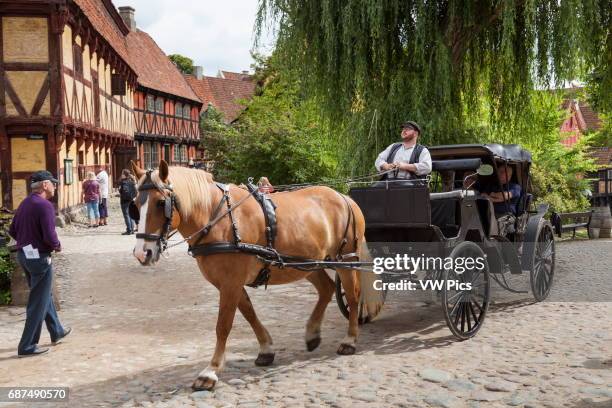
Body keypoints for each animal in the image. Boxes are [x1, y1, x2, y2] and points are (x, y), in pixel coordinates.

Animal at [129, 160, 382, 392]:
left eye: (161, 203)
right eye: (135, 204)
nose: (142, 253)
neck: (219, 218)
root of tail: (343, 197)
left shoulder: (231, 283)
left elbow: (223, 325)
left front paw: (211, 371)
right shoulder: (230, 283)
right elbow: (249, 314)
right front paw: (266, 349)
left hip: (345, 260)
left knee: (352, 296)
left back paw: (349, 340)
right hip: (306, 264)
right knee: (326, 289)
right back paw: (312, 334)